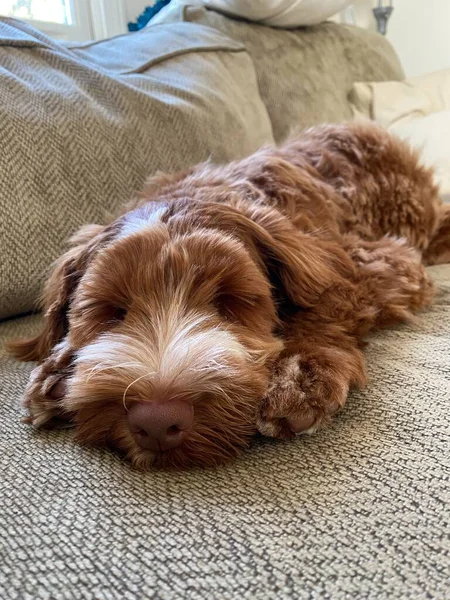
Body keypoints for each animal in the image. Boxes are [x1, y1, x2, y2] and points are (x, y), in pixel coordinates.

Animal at [7, 120, 450, 468]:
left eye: (229, 300)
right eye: (113, 310)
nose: (156, 422)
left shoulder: (380, 259)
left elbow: (333, 297)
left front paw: (299, 370)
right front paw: (58, 371)